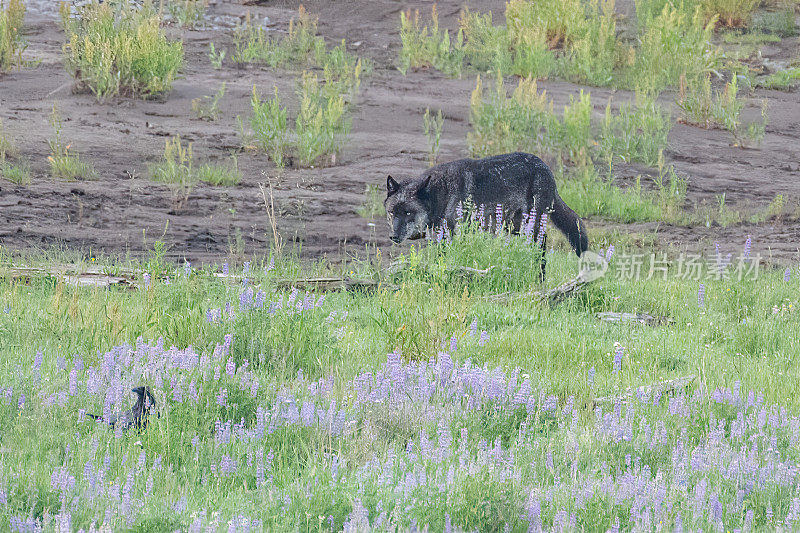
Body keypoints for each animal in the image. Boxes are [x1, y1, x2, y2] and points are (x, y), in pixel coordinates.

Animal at [388, 151, 588, 278]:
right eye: (391, 212)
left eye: (408, 212)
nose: (393, 236)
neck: (441, 193)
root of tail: (545, 167)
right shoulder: (441, 238)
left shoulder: (455, 234)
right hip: (515, 227)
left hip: (531, 224)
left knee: (542, 245)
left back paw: (540, 276)